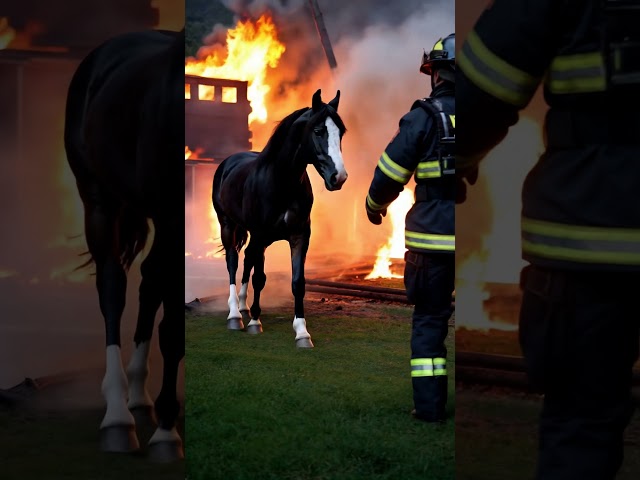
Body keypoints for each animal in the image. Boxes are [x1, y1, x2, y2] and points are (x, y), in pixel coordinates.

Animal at [63, 27, 184, 462]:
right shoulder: (171, 215)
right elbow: (173, 325)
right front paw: (166, 435)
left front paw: (165, 423)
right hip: (99, 200)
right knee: (112, 286)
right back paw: (117, 415)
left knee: (149, 282)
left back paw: (138, 395)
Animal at [214, 88, 344, 346]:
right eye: (318, 131)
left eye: (341, 132)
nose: (339, 177)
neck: (281, 182)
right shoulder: (260, 234)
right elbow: (259, 277)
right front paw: (255, 323)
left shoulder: (299, 236)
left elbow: (298, 282)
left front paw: (302, 333)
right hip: (228, 225)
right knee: (233, 262)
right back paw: (235, 315)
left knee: (246, 259)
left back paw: (243, 306)